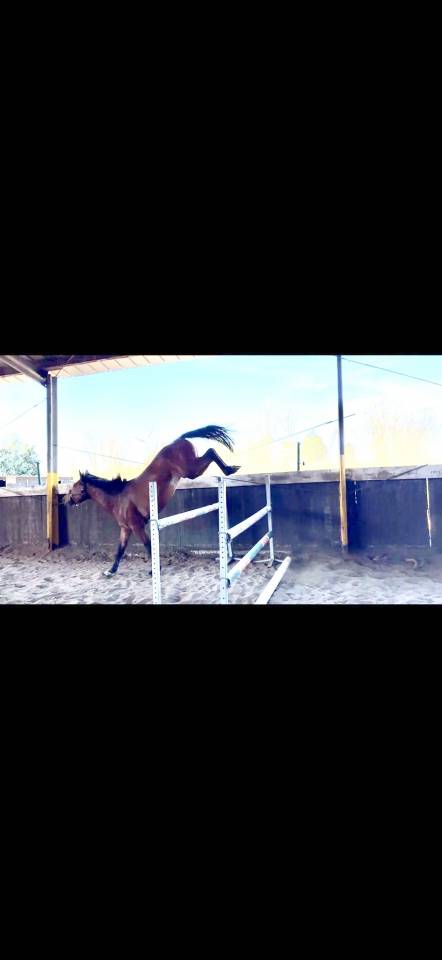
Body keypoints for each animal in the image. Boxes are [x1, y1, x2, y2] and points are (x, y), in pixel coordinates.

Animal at [65, 425, 240, 577]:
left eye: (72, 489)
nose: (65, 502)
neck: (118, 498)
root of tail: (178, 440)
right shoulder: (125, 530)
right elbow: (119, 551)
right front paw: (110, 571)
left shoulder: (137, 527)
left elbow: (149, 547)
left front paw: (155, 570)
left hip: (191, 470)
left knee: (211, 452)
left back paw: (230, 469)